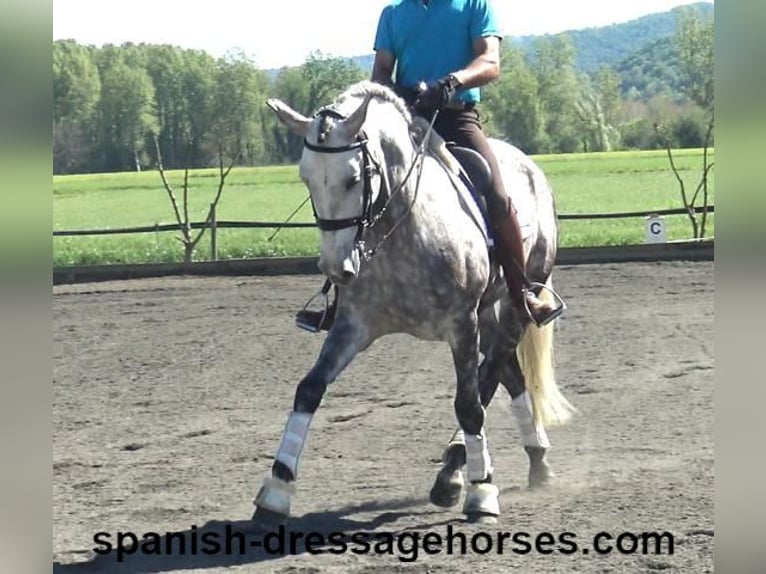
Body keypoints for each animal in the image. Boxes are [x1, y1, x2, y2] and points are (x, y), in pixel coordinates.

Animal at [254, 80, 576, 528]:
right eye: (306, 179)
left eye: (354, 178)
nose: (336, 268)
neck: (401, 229)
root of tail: (529, 167)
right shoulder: (354, 325)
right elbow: (309, 389)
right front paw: (276, 491)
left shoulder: (461, 323)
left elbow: (469, 405)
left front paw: (481, 493)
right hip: (488, 313)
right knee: (508, 372)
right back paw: (531, 459)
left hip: (515, 304)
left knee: (490, 376)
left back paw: (458, 472)